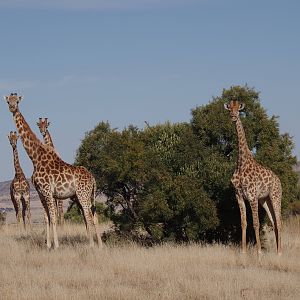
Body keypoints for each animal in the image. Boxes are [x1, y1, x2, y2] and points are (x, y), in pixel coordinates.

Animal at [4, 93, 102, 248]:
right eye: (8, 101)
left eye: (17, 101)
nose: (12, 108)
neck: (35, 158)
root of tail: (92, 179)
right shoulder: (41, 193)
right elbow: (46, 218)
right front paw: (48, 245)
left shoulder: (48, 191)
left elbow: (54, 217)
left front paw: (56, 245)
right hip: (87, 196)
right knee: (93, 215)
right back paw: (99, 245)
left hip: (82, 195)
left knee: (88, 217)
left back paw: (92, 245)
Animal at [225, 99, 282, 254]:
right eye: (229, 109)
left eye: (239, 109)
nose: (233, 116)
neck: (241, 163)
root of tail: (279, 181)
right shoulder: (239, 196)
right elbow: (243, 223)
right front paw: (244, 252)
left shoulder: (252, 196)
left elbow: (256, 224)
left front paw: (259, 253)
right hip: (265, 200)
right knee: (274, 221)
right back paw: (277, 252)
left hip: (275, 196)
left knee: (279, 221)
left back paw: (280, 252)